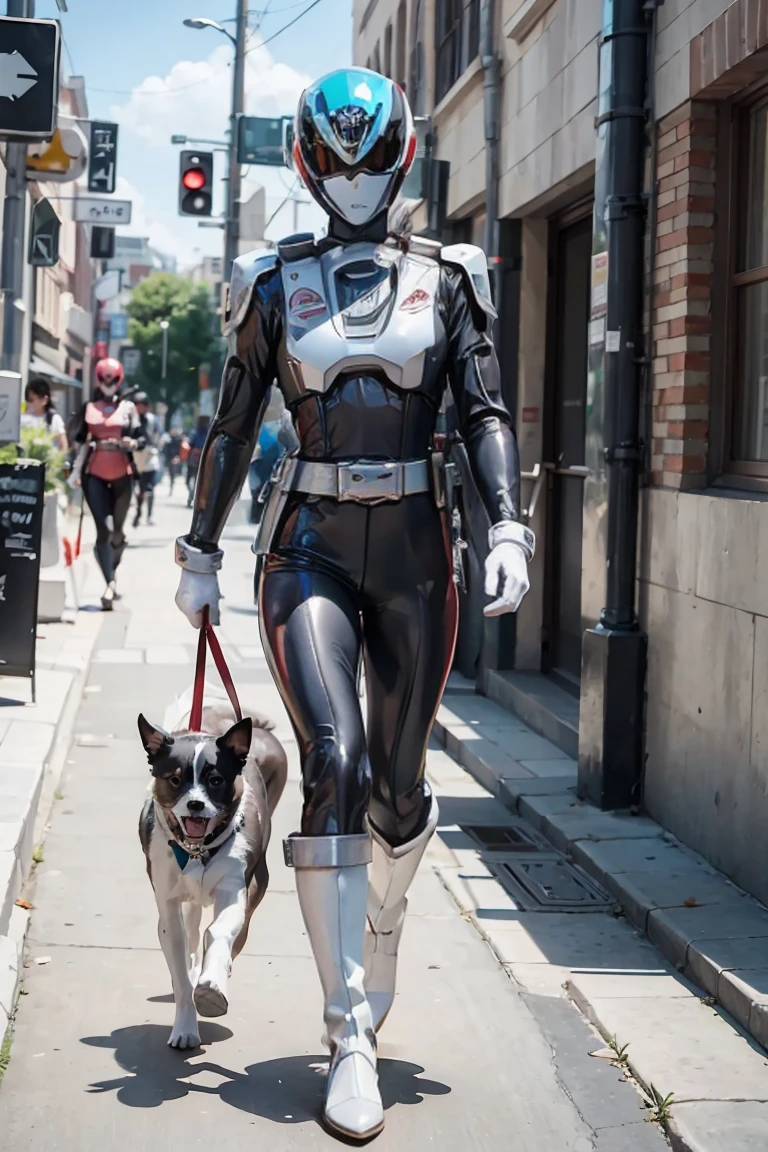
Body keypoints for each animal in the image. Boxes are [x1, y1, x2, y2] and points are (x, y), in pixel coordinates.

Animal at [137, 686, 285, 1050]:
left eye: (216, 780)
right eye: (175, 779)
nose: (195, 804)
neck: (196, 851)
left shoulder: (235, 889)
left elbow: (218, 932)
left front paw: (211, 985)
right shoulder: (168, 904)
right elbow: (179, 961)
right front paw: (185, 1027)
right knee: (190, 932)